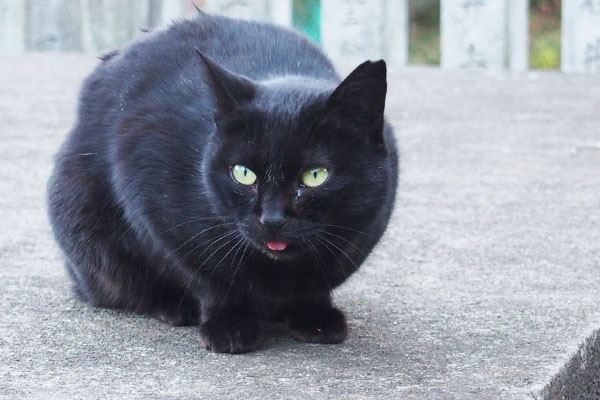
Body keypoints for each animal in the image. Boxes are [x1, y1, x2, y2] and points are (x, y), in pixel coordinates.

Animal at [48, 11, 398, 354]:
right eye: (243, 173)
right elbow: (209, 278)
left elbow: (316, 283)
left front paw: (315, 315)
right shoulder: (152, 204)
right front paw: (228, 325)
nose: (272, 219)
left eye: (315, 176)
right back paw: (173, 306)